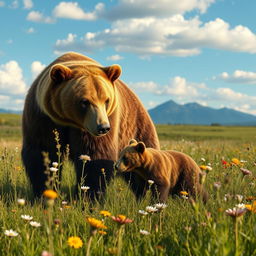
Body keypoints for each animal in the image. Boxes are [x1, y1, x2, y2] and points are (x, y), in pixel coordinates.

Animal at [22, 52, 159, 200]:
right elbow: (42, 154)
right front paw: (45, 192)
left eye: (106, 100)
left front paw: (88, 196)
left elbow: (95, 157)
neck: (70, 121)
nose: (103, 127)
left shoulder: (99, 124)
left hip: (136, 131)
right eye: (84, 101)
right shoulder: (43, 119)